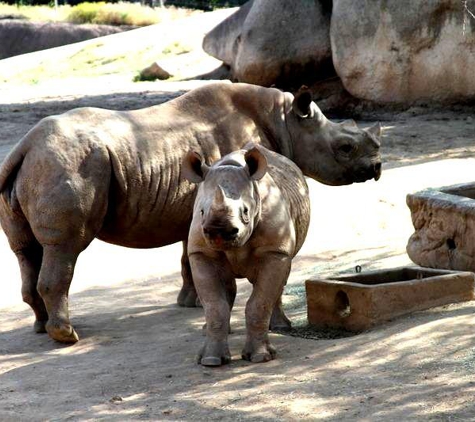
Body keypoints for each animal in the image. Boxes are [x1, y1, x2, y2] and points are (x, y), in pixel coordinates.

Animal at [0, 81, 382, 342]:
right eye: (345, 148)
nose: (377, 167)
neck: (286, 120)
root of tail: (25, 145)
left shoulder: (199, 206)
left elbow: (187, 255)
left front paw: (189, 302)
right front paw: (198, 303)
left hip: (37, 166)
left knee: (25, 250)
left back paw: (41, 328)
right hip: (68, 163)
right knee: (65, 247)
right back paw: (66, 336)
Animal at [183, 143, 312, 366]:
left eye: (245, 211)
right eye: (201, 212)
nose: (219, 231)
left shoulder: (275, 250)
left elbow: (259, 303)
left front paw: (261, 357)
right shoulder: (201, 252)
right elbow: (215, 306)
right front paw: (210, 360)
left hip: (285, 244)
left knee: (282, 275)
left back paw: (280, 327)